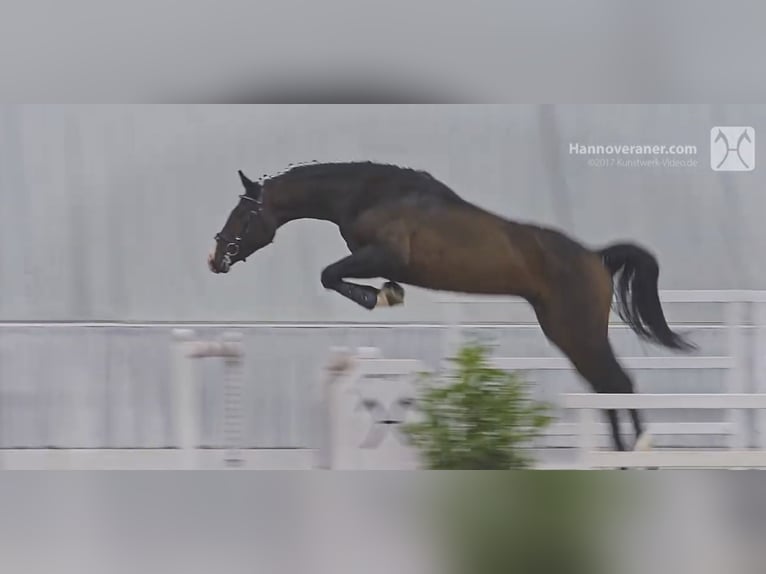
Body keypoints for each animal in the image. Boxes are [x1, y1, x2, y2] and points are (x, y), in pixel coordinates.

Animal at [208, 161, 695, 453]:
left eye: (243, 215)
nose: (216, 258)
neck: (367, 194)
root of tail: (595, 257)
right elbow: (336, 276)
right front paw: (388, 293)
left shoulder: (384, 254)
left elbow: (330, 275)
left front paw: (380, 296)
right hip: (566, 333)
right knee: (605, 386)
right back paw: (623, 455)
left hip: (579, 330)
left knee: (618, 383)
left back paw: (637, 454)